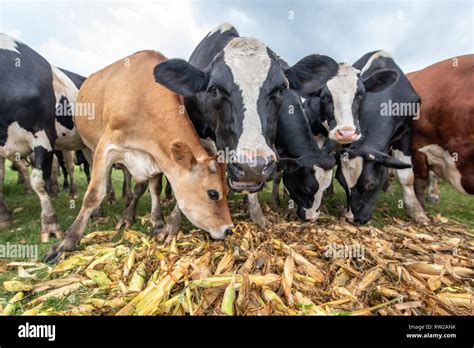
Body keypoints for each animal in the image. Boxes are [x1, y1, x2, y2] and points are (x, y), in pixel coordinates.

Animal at [0, 34, 87, 242]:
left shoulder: (42, 136)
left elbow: (38, 181)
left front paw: (50, 224)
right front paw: (4, 217)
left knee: (71, 168)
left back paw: (73, 192)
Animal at [45, 49, 234, 260]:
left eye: (227, 192)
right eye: (213, 193)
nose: (228, 229)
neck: (143, 100)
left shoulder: (156, 155)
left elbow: (154, 188)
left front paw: (157, 222)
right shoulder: (107, 145)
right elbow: (93, 194)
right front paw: (66, 243)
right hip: (89, 146)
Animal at [332, 50, 432, 224]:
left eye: (370, 185)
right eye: (342, 182)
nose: (353, 219)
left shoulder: (406, 132)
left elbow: (406, 176)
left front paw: (417, 212)